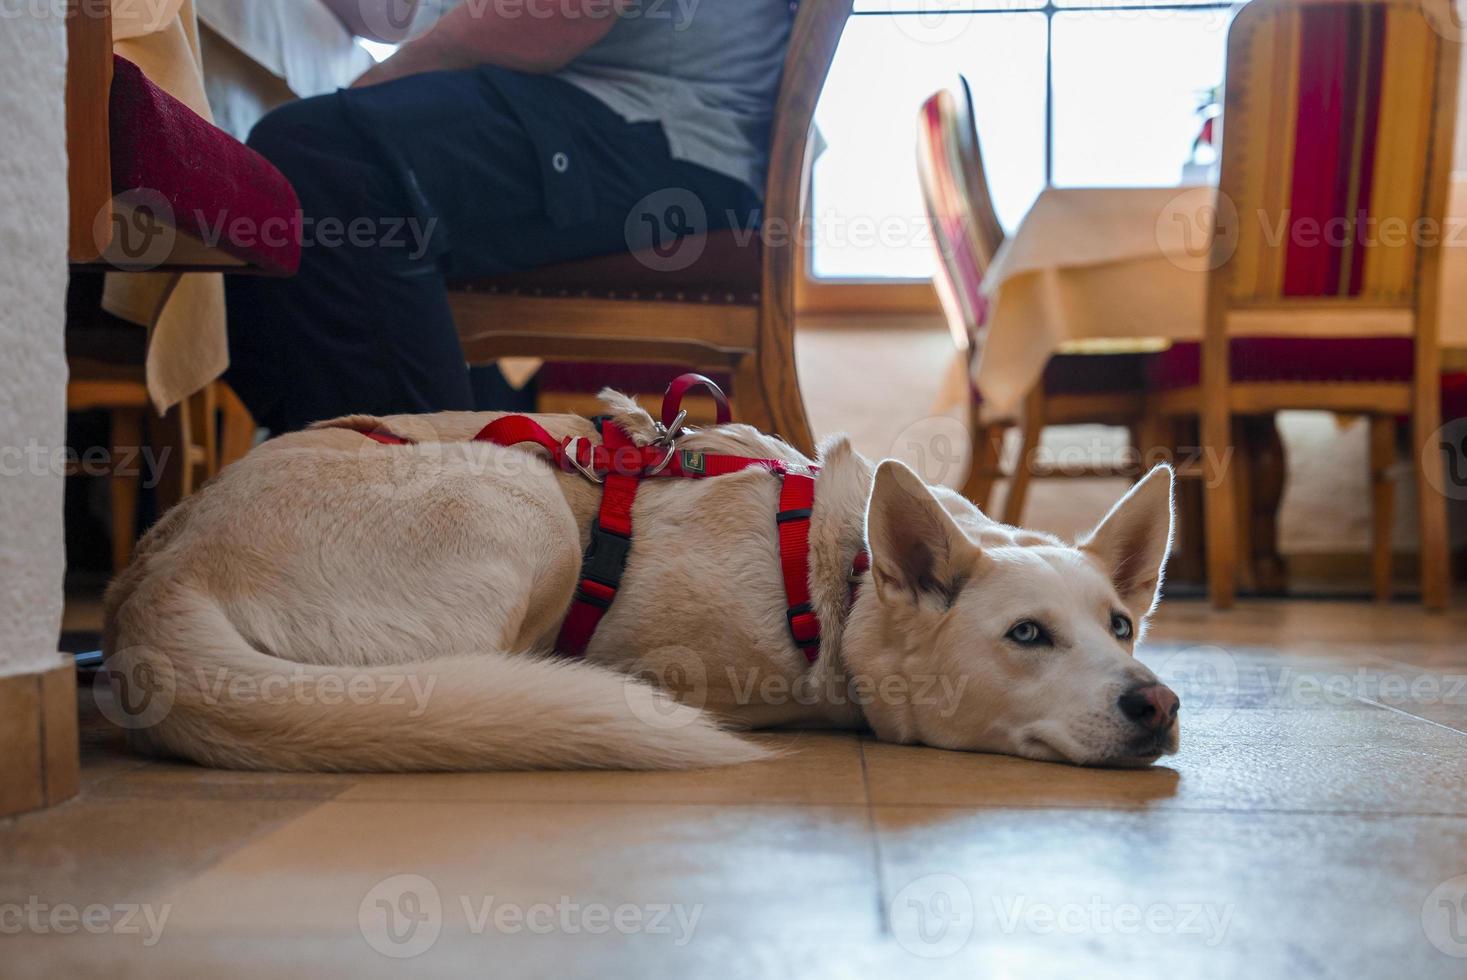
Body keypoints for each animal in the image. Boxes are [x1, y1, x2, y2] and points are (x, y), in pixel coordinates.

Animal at [103, 390, 1179, 774]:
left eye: (1122, 626)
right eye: (1027, 634)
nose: (1158, 704)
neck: (840, 580)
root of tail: (150, 586)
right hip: (521, 502)